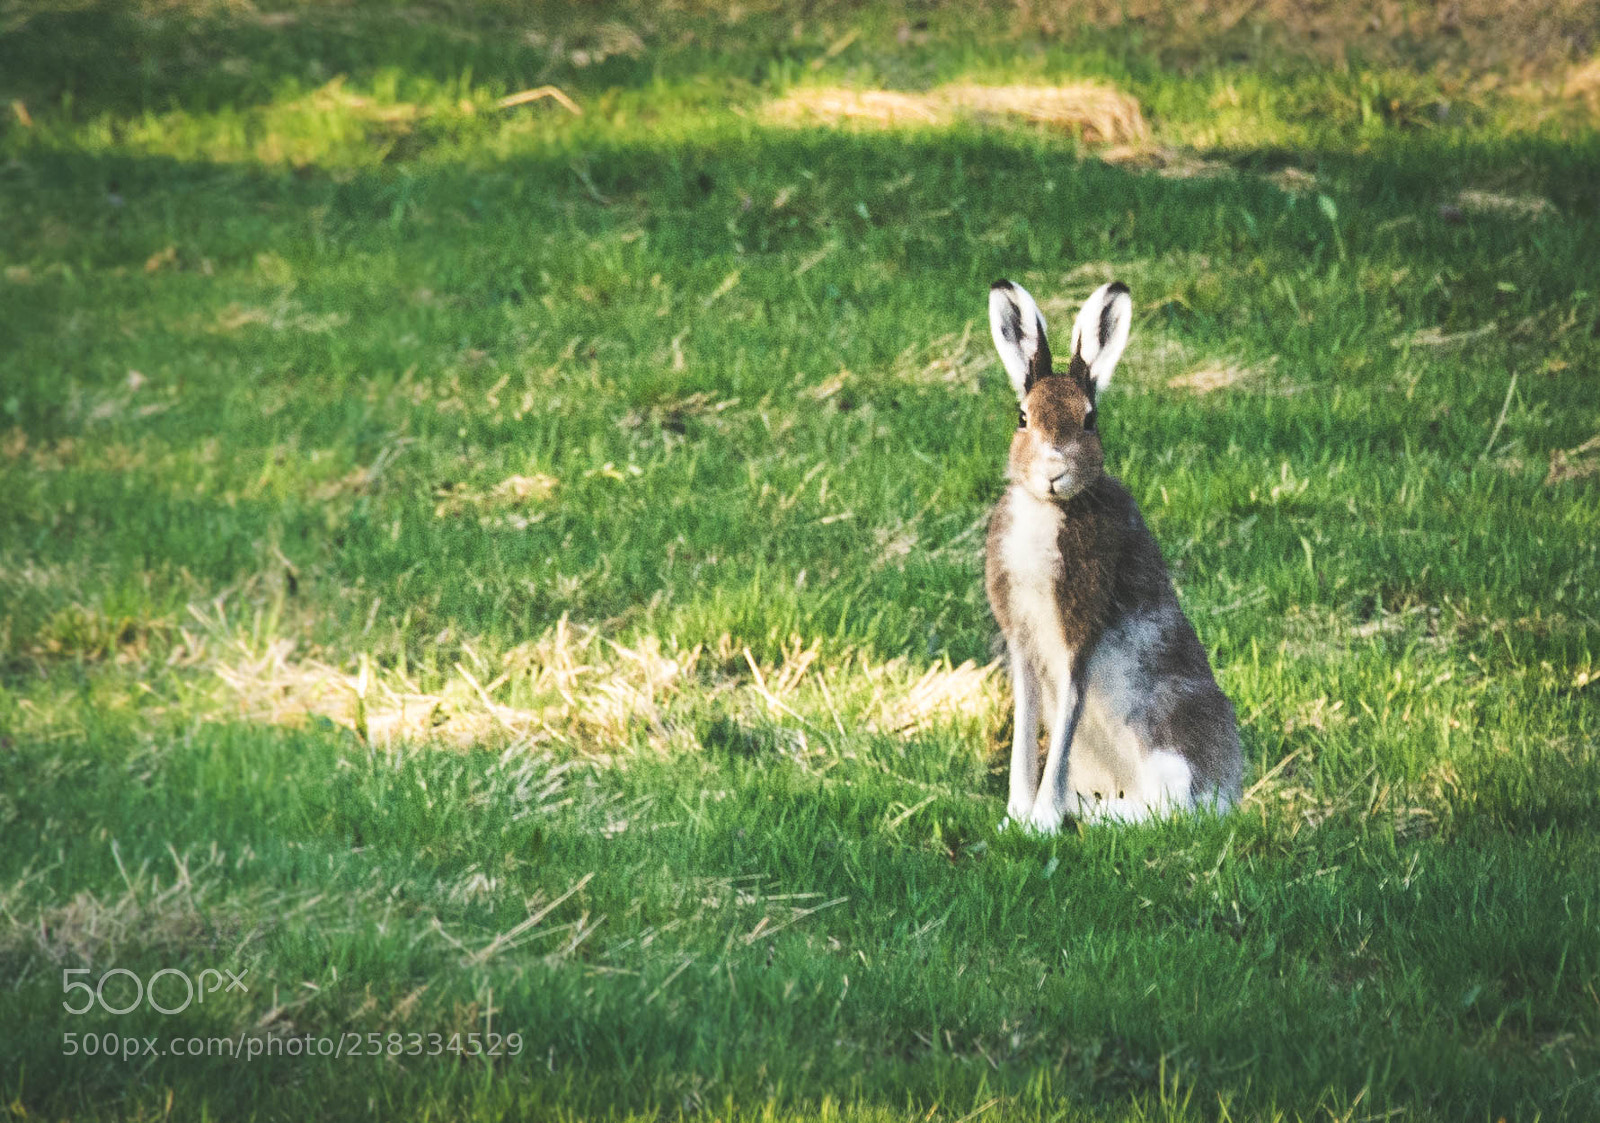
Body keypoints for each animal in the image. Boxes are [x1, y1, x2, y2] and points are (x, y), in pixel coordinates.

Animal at [984, 278, 1242, 833]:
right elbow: (1026, 729)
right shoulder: (1023, 643)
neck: (1049, 508)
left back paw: (1097, 818)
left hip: (1165, 737)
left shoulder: (1080, 632)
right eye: (1022, 417)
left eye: (1090, 420)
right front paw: (1016, 818)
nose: (1054, 470)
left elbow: (1063, 724)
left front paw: (1041, 823)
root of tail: (1227, 788)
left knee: (1168, 808)